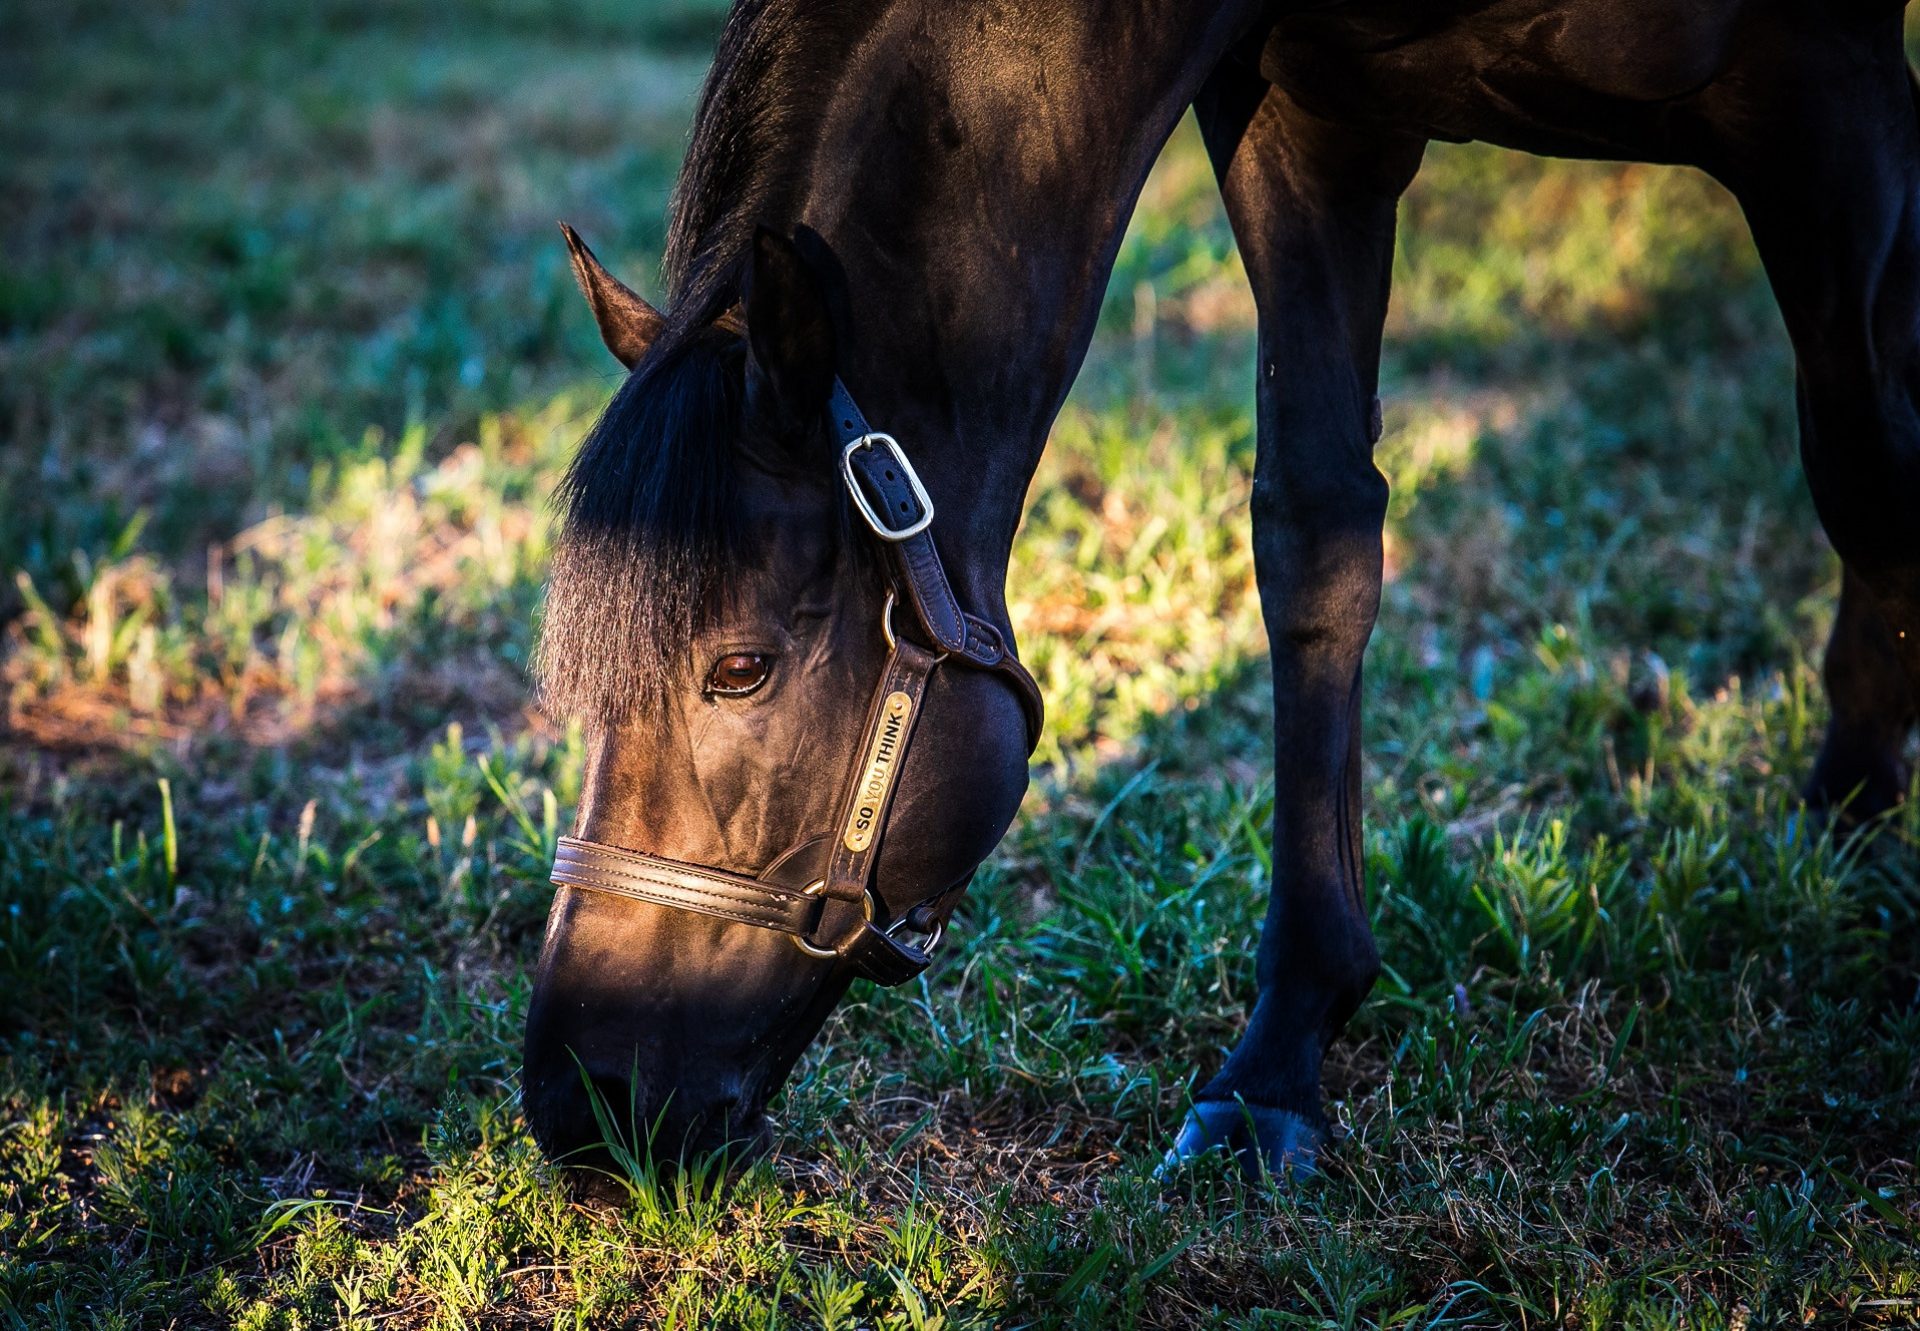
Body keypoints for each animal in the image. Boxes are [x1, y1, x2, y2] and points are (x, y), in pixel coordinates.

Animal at [522, 0, 1920, 1175]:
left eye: (739, 668)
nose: (576, 1101)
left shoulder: (1831, 97)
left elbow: (1867, 462)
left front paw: (1854, 820)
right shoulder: (1313, 119)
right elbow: (1315, 536)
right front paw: (1279, 1064)